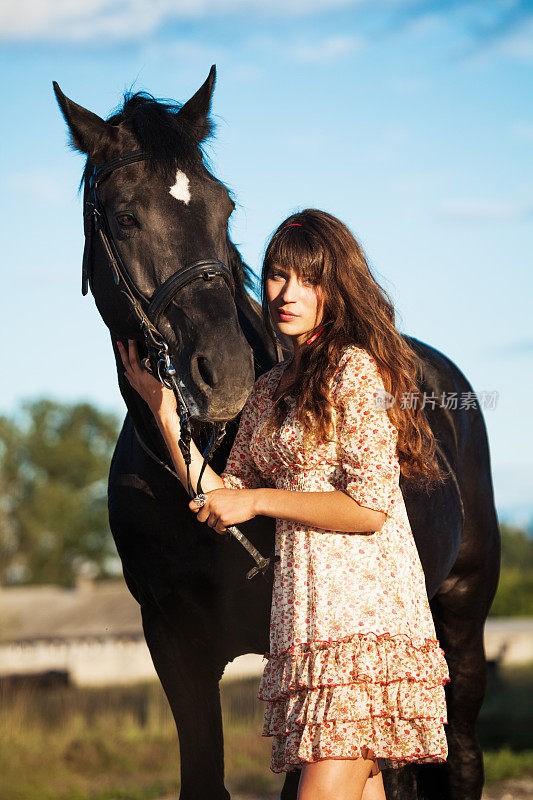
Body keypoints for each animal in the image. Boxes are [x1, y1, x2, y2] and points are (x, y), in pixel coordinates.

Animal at [53, 69, 498, 800]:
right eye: (124, 216)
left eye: (224, 206)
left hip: (459, 617)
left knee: (458, 756)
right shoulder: (173, 643)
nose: (226, 372)